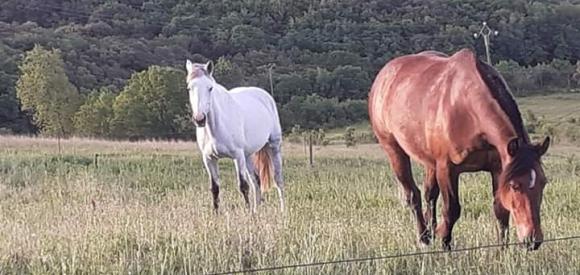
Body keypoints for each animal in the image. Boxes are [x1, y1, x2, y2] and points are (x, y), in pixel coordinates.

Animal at [186, 59, 286, 213]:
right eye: (189, 88)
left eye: (210, 88)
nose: (199, 119)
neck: (216, 127)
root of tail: (265, 96)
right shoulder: (209, 159)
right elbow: (215, 188)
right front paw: (216, 214)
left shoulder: (237, 156)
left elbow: (243, 186)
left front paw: (247, 213)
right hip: (248, 155)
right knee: (256, 181)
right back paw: (256, 211)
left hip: (273, 146)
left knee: (277, 178)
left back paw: (282, 210)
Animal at [370, 48, 552, 251]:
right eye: (515, 186)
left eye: (543, 182)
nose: (533, 240)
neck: (466, 109)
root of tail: (384, 74)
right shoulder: (447, 168)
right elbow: (451, 210)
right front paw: (445, 245)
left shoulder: (499, 168)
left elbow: (500, 210)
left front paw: (502, 251)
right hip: (394, 149)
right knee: (413, 195)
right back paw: (424, 238)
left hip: (430, 162)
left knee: (429, 195)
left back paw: (431, 232)